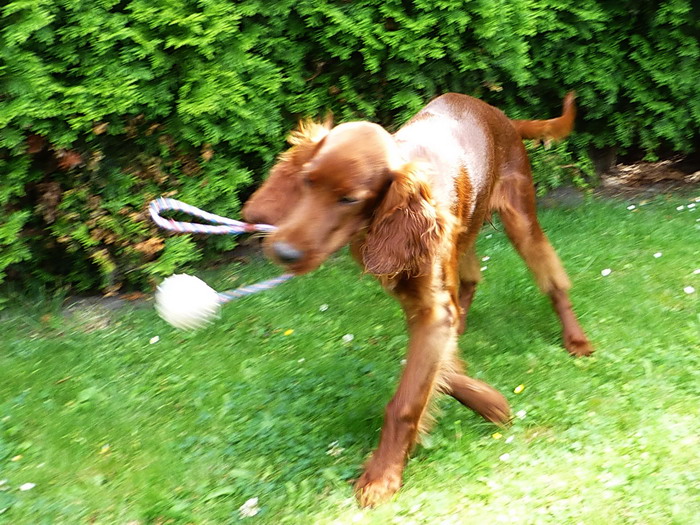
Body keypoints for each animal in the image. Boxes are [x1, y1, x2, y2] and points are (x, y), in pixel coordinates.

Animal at [242, 91, 592, 507]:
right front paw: (487, 399)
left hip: (520, 218)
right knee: (470, 279)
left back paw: (576, 338)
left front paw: (381, 477)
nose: (284, 253)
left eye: (349, 199)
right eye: (307, 180)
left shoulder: (431, 307)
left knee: (552, 279)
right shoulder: (416, 299)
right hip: (465, 234)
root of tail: (499, 115)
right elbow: (442, 367)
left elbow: (407, 400)